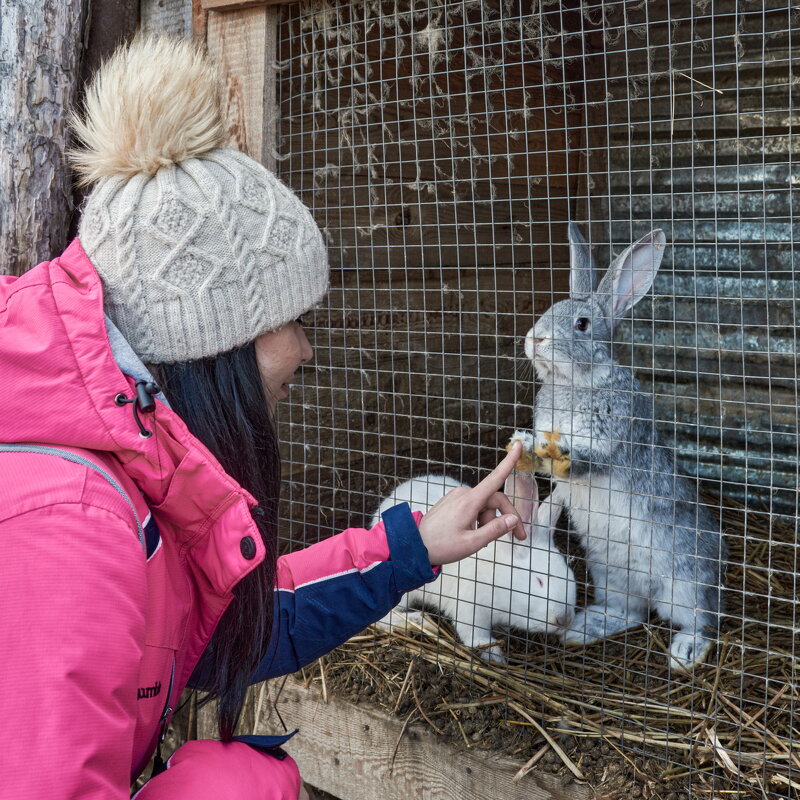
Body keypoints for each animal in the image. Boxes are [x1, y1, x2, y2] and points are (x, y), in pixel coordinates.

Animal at [372, 468, 580, 664]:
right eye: (539, 580)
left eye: (570, 574)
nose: (565, 620)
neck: (500, 576)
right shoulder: (470, 608)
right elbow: (476, 637)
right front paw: (496, 657)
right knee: (384, 617)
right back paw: (420, 622)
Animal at [512, 222, 724, 672]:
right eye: (548, 309)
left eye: (582, 323)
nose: (535, 338)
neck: (575, 383)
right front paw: (527, 448)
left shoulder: (611, 436)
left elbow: (588, 461)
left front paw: (561, 455)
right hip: (608, 572)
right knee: (629, 612)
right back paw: (585, 628)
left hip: (685, 579)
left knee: (701, 619)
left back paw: (686, 653)